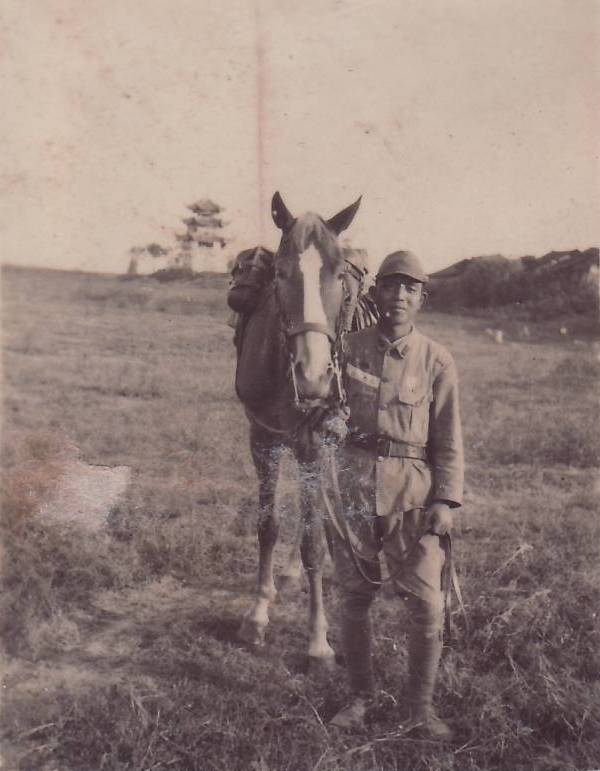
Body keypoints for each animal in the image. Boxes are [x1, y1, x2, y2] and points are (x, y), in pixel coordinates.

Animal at [234, 191, 362, 670]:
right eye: (280, 273)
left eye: (339, 274)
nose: (313, 375)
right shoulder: (262, 440)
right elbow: (268, 525)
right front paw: (256, 615)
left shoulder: (312, 443)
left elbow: (313, 542)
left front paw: (318, 640)